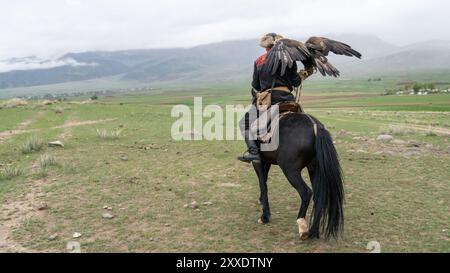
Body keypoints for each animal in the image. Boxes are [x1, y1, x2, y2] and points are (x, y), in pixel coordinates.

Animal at [253, 111, 344, 239]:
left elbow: (262, 184)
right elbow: (264, 180)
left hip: (290, 171)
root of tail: (316, 127)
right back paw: (313, 231)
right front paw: (261, 201)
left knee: (306, 192)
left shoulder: (257, 161)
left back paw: (302, 227)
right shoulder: (267, 161)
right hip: (314, 169)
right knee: (319, 196)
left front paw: (265, 216)